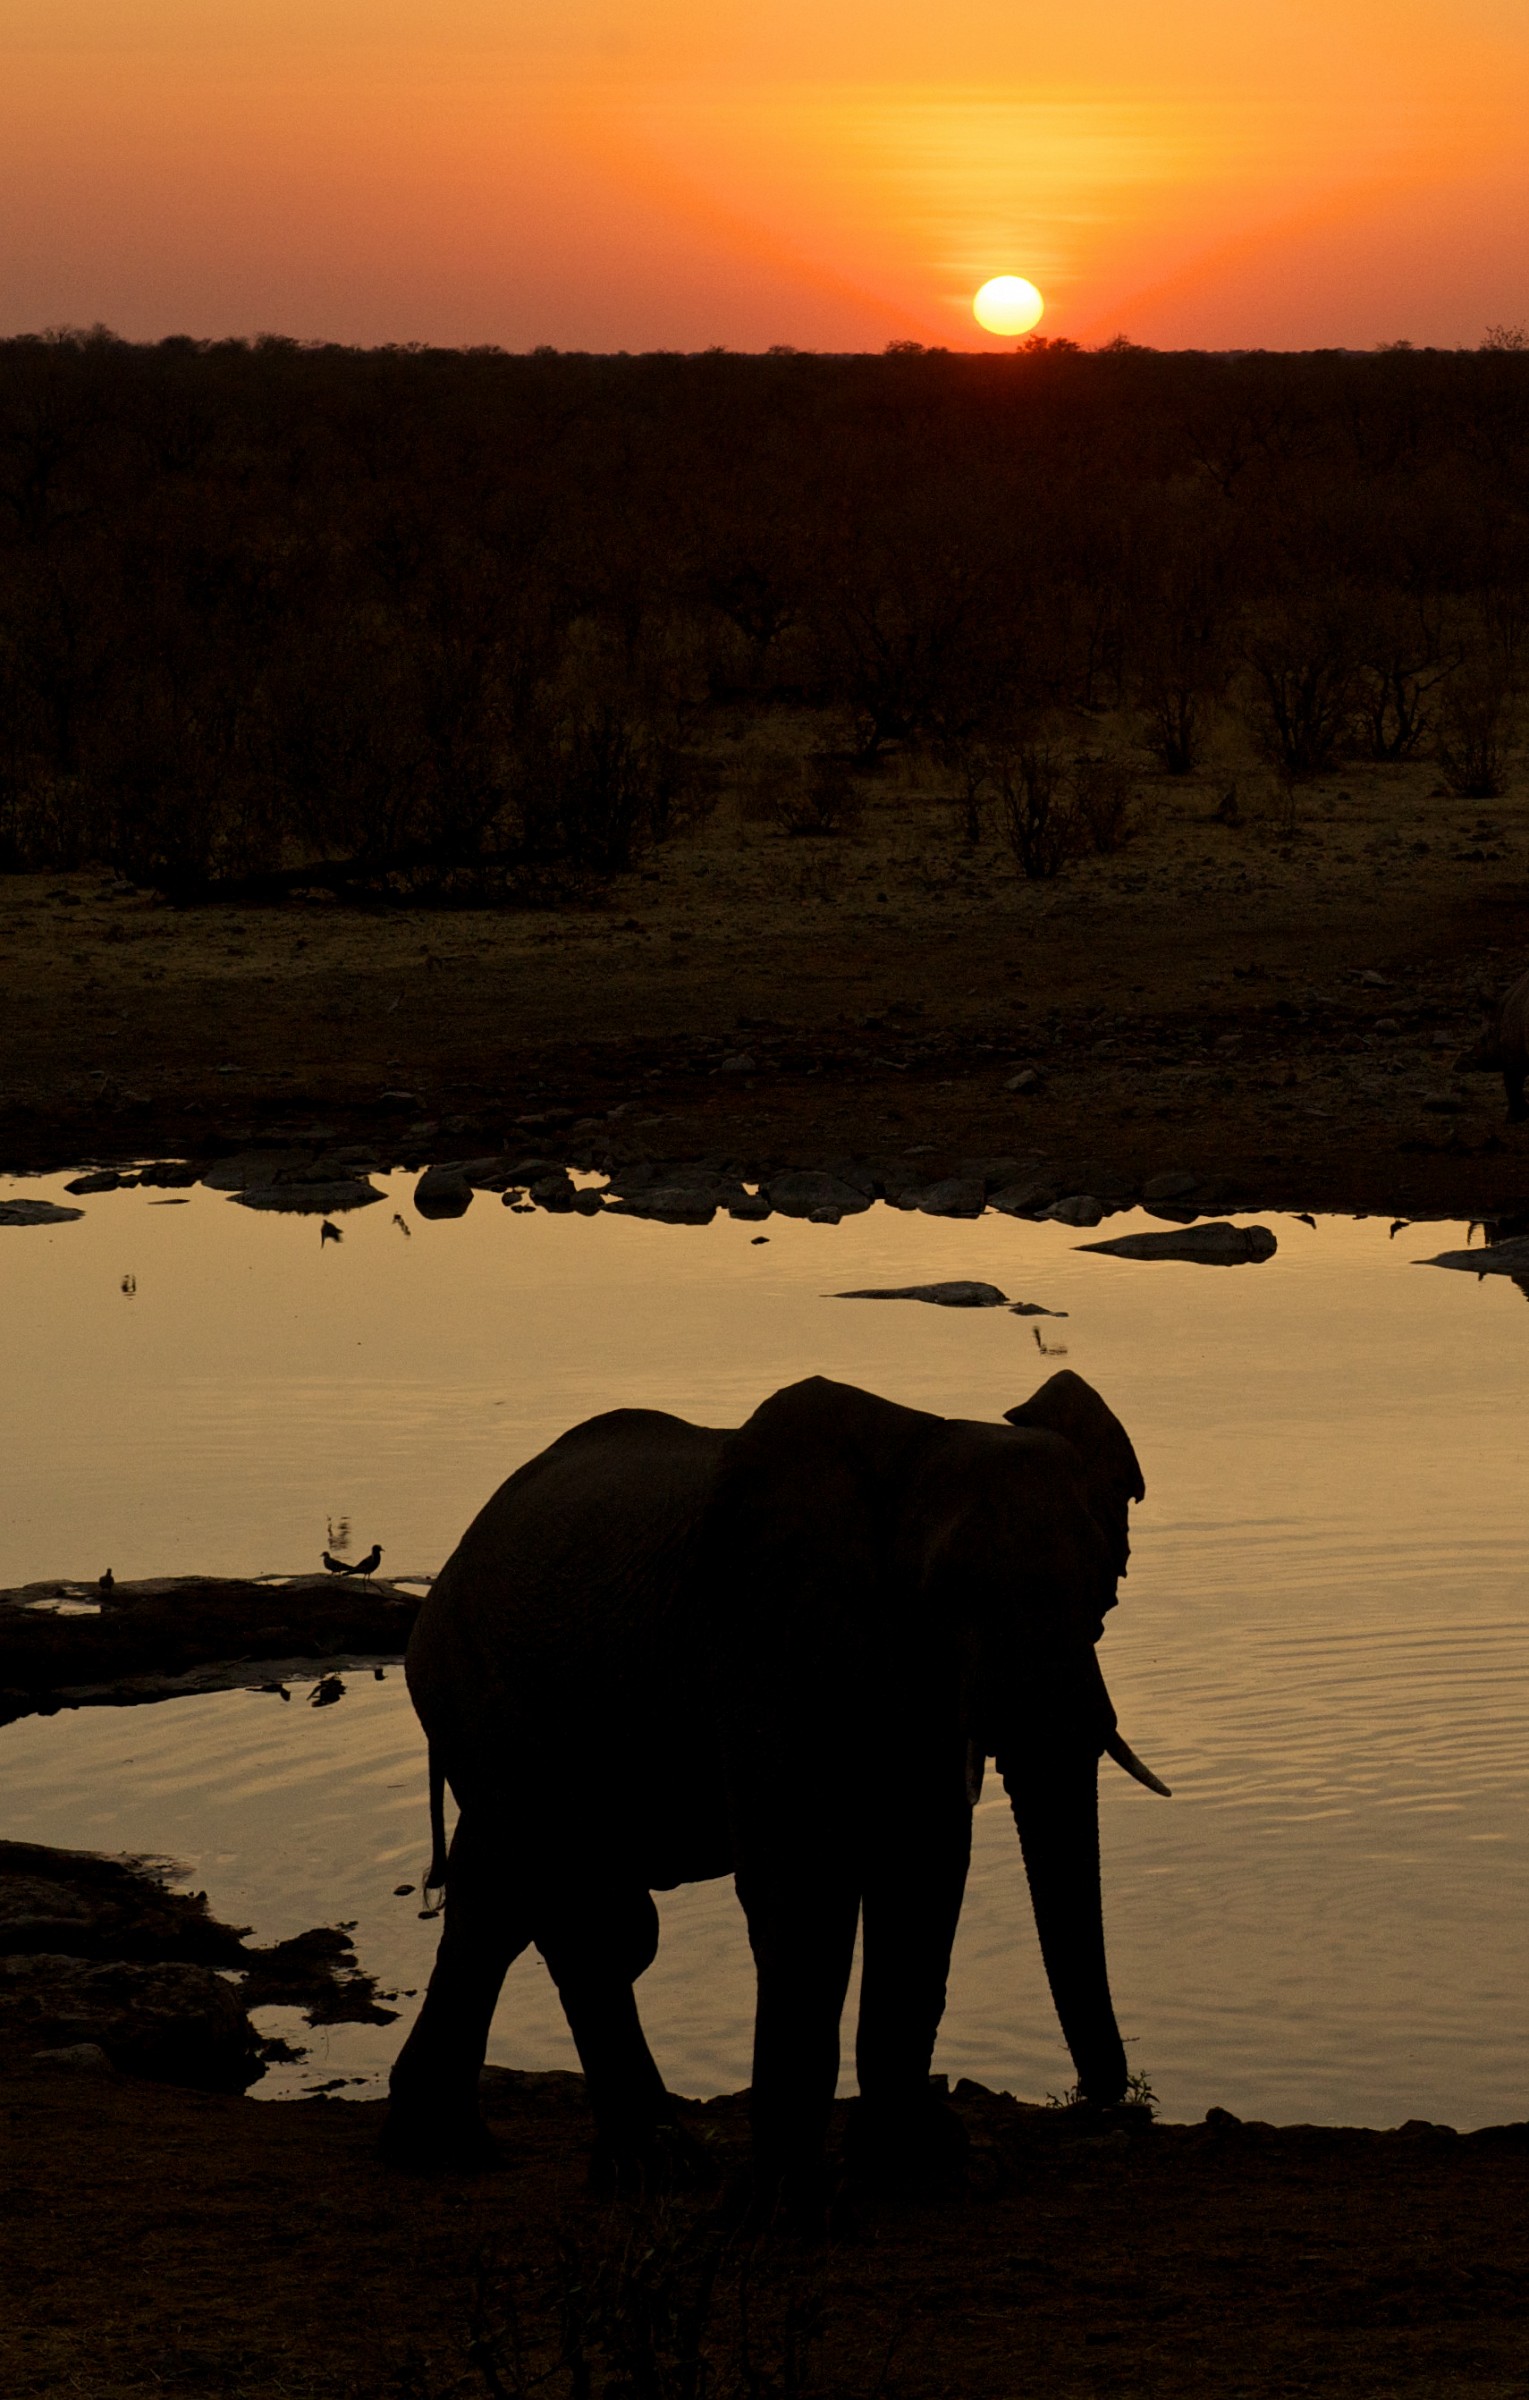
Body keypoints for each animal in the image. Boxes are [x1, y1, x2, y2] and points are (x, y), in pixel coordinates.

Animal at [383, 1370, 1168, 2199]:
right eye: (947, 1593)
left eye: (1103, 1593)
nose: (1106, 2101)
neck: (917, 1444)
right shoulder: (759, 1631)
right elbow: (806, 1875)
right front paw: (794, 2190)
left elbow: (921, 1864)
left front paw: (918, 2165)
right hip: (480, 1691)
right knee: (581, 1909)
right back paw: (656, 2167)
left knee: (495, 1901)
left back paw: (443, 2149)